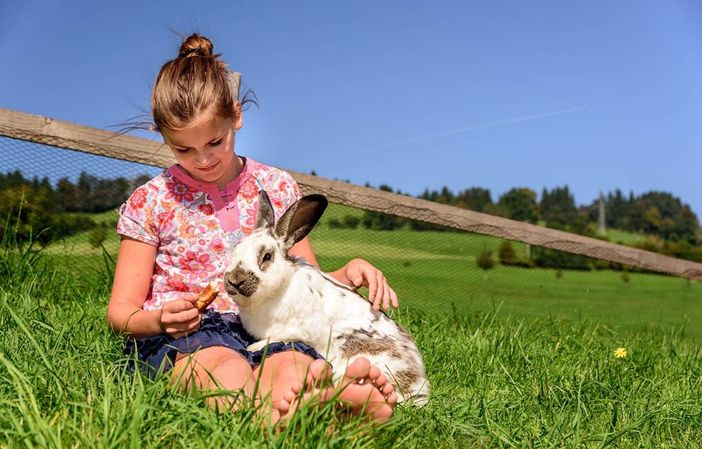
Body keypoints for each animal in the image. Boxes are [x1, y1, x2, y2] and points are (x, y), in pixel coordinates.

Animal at [226, 190, 432, 406]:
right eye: (236, 248)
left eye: (267, 256)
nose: (234, 280)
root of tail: (418, 388)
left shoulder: (297, 330)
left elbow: (273, 338)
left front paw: (252, 347)